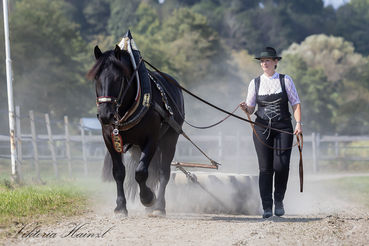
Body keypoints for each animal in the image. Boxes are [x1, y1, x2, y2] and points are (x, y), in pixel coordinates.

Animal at [86, 44, 184, 215]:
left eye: (118, 78)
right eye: (97, 78)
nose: (105, 114)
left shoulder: (151, 139)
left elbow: (141, 172)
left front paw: (148, 198)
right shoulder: (110, 139)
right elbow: (119, 172)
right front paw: (120, 207)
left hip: (170, 138)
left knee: (164, 172)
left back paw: (159, 206)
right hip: (137, 147)